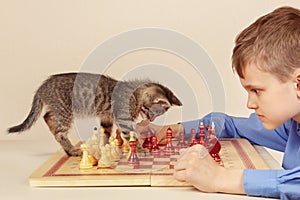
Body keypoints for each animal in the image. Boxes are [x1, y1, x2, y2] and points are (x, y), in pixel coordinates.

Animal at [8, 72, 182, 156]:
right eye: (151, 112)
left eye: (155, 116)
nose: (150, 119)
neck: (135, 95)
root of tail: (43, 87)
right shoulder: (122, 118)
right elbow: (129, 134)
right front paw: (139, 149)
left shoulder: (107, 117)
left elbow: (105, 132)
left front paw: (105, 147)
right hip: (65, 111)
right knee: (58, 132)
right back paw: (72, 150)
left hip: (59, 110)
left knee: (47, 117)